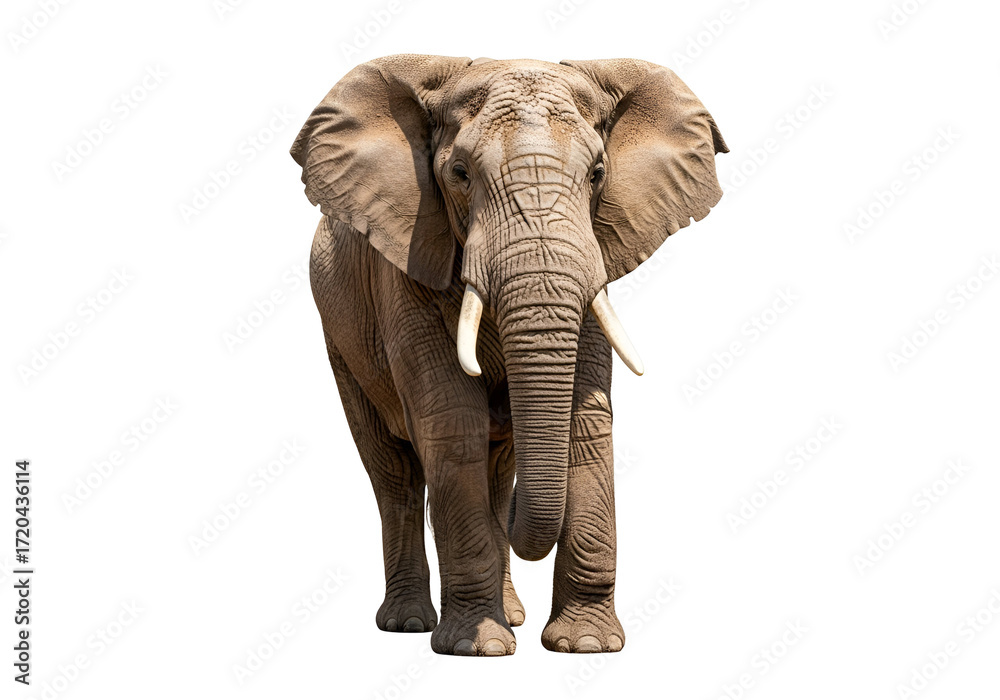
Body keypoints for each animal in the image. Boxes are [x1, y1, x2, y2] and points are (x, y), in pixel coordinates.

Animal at [290, 54, 727, 656]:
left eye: (597, 174)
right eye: (460, 174)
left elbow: (585, 419)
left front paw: (584, 645)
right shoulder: (405, 260)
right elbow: (452, 418)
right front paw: (478, 649)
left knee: (498, 470)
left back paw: (512, 614)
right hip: (339, 336)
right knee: (394, 473)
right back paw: (408, 623)